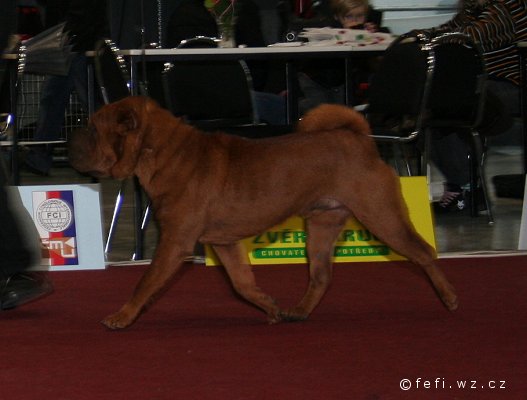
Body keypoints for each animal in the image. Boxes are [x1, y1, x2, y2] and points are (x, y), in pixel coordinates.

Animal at [69, 96, 458, 328]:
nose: (71, 141)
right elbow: (242, 283)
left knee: (424, 252)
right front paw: (269, 306)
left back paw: (450, 298)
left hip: (381, 215)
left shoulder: (175, 241)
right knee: (322, 274)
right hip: (322, 225)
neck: (160, 151)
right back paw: (298, 311)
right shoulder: (223, 243)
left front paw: (121, 316)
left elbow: (146, 281)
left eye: (93, 128)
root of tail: (359, 139)